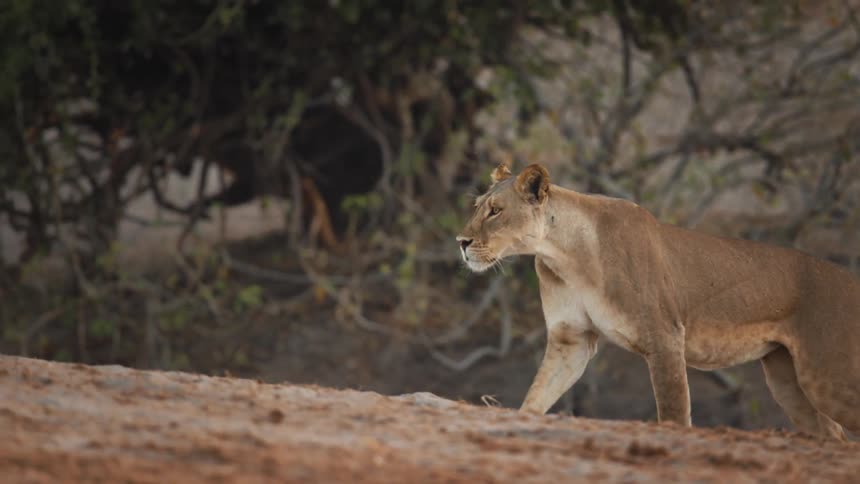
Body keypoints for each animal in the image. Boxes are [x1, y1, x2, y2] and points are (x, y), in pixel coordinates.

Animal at [457, 163, 859, 440]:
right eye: (477, 207)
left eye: (495, 210)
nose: (460, 242)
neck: (564, 254)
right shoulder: (572, 340)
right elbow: (537, 395)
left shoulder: (664, 338)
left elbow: (674, 412)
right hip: (787, 380)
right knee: (832, 433)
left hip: (827, 374)